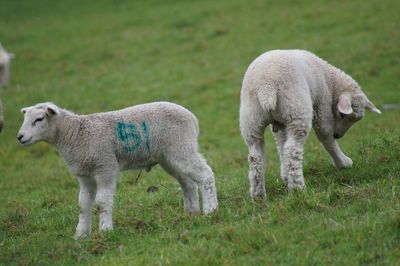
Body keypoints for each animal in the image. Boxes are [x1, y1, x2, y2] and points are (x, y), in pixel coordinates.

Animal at [17, 101, 219, 238]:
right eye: (25, 119)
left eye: (39, 119)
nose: (20, 136)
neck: (75, 135)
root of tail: (191, 117)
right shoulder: (84, 175)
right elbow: (83, 204)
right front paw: (81, 235)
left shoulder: (105, 166)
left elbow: (101, 202)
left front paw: (105, 230)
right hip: (169, 156)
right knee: (188, 183)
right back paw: (191, 213)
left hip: (181, 146)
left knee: (205, 174)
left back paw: (211, 210)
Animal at [241, 50, 382, 200]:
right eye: (342, 114)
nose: (338, 135)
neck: (330, 80)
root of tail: (266, 87)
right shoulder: (322, 105)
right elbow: (325, 136)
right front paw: (343, 163)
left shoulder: (281, 124)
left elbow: (281, 144)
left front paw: (285, 175)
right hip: (297, 111)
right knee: (292, 151)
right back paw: (298, 189)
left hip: (251, 120)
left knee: (256, 157)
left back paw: (259, 196)